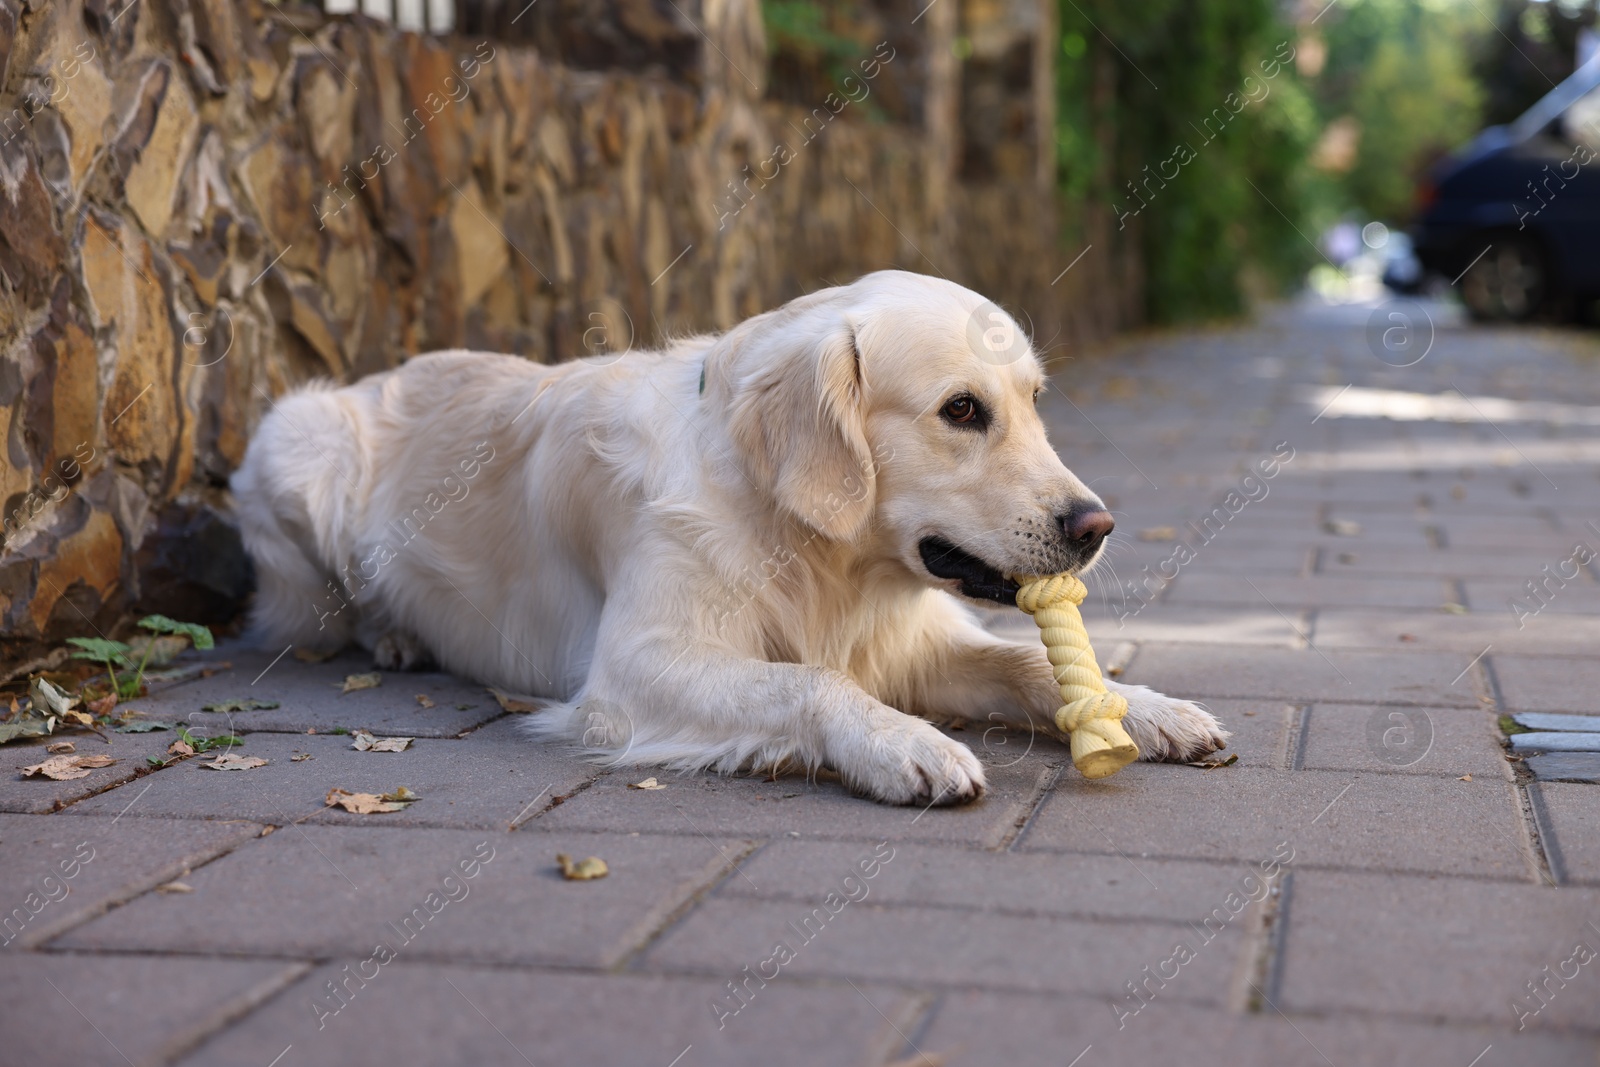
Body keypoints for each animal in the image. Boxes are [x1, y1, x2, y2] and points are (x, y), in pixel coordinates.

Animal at [232, 271, 1222, 806]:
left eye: (1035, 400)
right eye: (961, 410)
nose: (1096, 526)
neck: (811, 545)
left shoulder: (912, 638)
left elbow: (1026, 663)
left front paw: (1146, 706)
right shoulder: (635, 666)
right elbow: (809, 680)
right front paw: (903, 742)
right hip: (297, 441)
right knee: (331, 612)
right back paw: (395, 636)